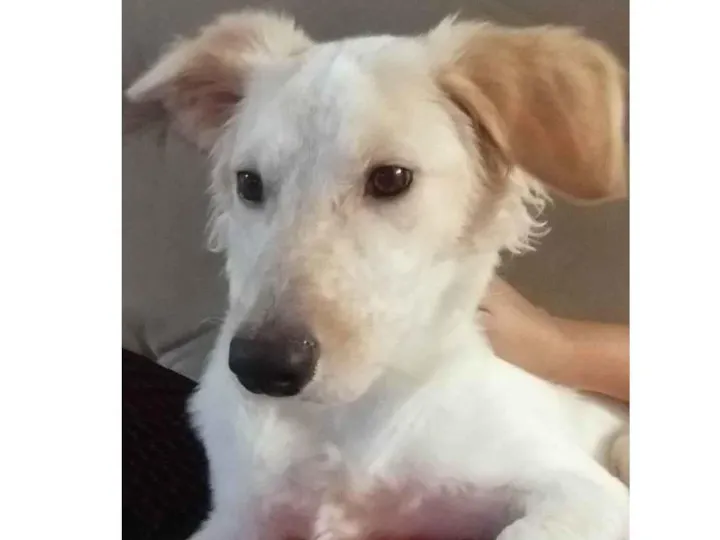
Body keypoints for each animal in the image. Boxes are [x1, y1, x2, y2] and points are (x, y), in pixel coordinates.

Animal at [127, 10, 629, 540]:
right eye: (248, 182)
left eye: (391, 178)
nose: (260, 367)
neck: (342, 423)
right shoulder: (238, 518)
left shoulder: (584, 489)